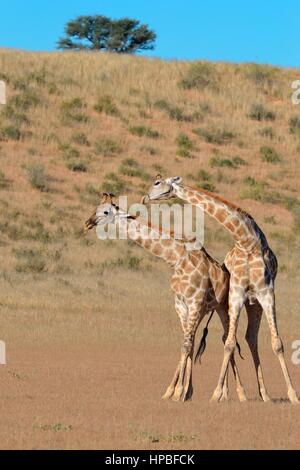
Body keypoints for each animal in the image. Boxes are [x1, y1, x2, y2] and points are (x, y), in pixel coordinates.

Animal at [84, 193, 246, 402]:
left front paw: (178, 392)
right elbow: (187, 345)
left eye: (105, 211)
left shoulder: (194, 302)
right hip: (204, 310)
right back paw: (221, 393)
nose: (88, 223)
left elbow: (186, 345)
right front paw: (177, 391)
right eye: (95, 208)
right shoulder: (181, 304)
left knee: (228, 339)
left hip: (223, 307)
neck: (176, 258)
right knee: (206, 339)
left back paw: (235, 393)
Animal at [144, 176, 300, 404]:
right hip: (231, 304)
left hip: (253, 304)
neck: (247, 241)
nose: (146, 197)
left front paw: (293, 395)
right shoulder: (236, 294)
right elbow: (229, 344)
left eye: (157, 183)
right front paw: (216, 393)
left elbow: (277, 343)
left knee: (250, 338)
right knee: (235, 337)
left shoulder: (267, 291)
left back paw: (264, 394)